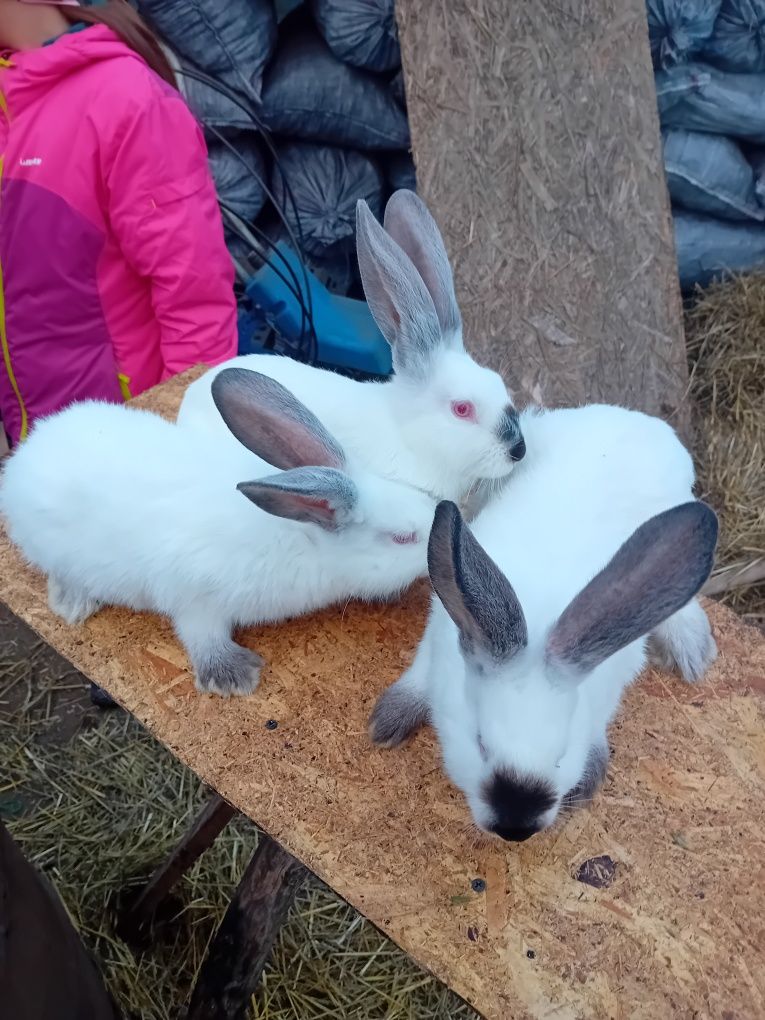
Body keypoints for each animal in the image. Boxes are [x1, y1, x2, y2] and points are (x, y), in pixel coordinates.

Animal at [1, 371, 436, 697]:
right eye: (403, 538)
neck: (300, 536)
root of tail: (26, 453)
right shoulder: (193, 597)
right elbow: (200, 634)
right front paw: (234, 676)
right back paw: (73, 604)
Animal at [369, 401, 718, 840]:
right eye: (480, 744)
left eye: (560, 756)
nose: (515, 828)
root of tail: (643, 421)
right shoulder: (440, 631)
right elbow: (418, 676)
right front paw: (388, 722)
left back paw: (693, 650)